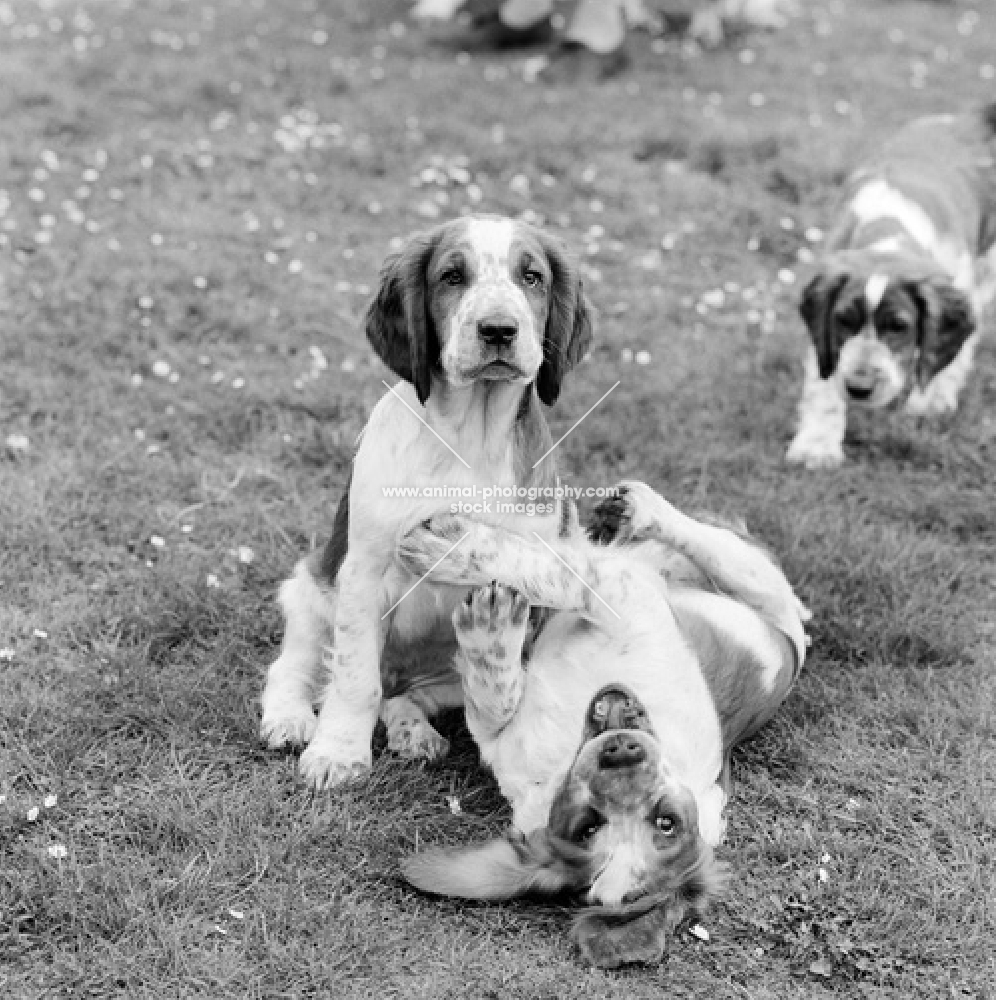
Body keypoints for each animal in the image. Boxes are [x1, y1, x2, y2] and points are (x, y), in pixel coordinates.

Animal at [260, 217, 596, 788]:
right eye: (452, 276)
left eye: (532, 277)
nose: (499, 330)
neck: (469, 438)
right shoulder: (362, 574)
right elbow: (354, 679)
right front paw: (338, 754)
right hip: (309, 591)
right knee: (296, 668)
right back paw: (289, 718)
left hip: (445, 672)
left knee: (406, 697)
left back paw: (413, 732)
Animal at [396, 484, 808, 968]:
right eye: (589, 826)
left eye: (665, 823)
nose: (622, 751)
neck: (565, 753)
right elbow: (495, 696)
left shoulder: (624, 596)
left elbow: (568, 575)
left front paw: (459, 564)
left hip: (757, 583)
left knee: (697, 541)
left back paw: (631, 512)